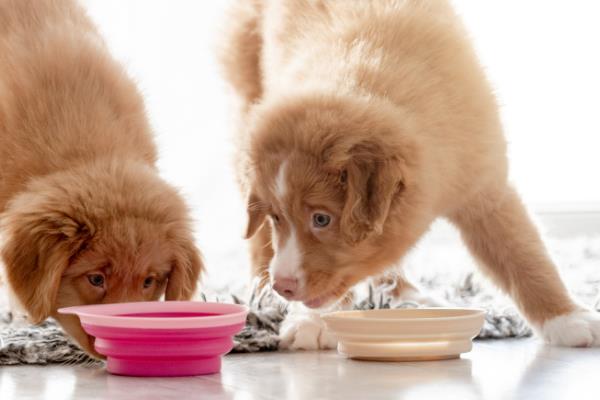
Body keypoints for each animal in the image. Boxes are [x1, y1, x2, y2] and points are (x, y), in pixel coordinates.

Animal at [220, 0, 600, 350]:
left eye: (322, 219)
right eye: (277, 218)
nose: (283, 285)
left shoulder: (482, 181)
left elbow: (521, 251)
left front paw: (568, 318)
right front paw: (311, 320)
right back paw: (262, 294)